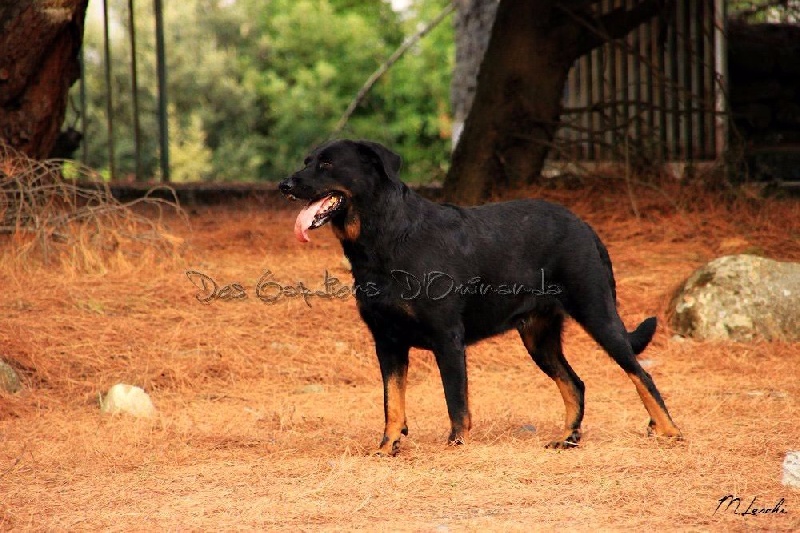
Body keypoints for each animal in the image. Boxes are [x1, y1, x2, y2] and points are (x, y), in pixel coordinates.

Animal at [280, 139, 680, 456]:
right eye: (307, 160)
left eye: (327, 164)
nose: (285, 184)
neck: (384, 236)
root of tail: (585, 226)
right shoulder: (387, 341)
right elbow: (392, 401)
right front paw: (387, 446)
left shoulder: (447, 338)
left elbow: (456, 401)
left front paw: (456, 446)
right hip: (538, 337)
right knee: (574, 383)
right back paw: (567, 438)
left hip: (597, 312)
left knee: (641, 374)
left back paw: (668, 430)